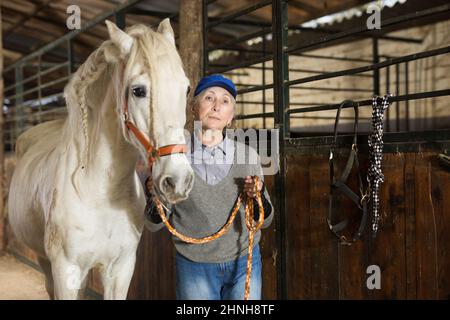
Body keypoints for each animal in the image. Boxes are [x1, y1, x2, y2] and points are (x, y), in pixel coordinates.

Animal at [7, 19, 193, 300]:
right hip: (45, 262)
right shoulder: (66, 271)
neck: (99, 191)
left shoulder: (121, 269)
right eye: (138, 91)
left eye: (187, 88)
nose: (178, 180)